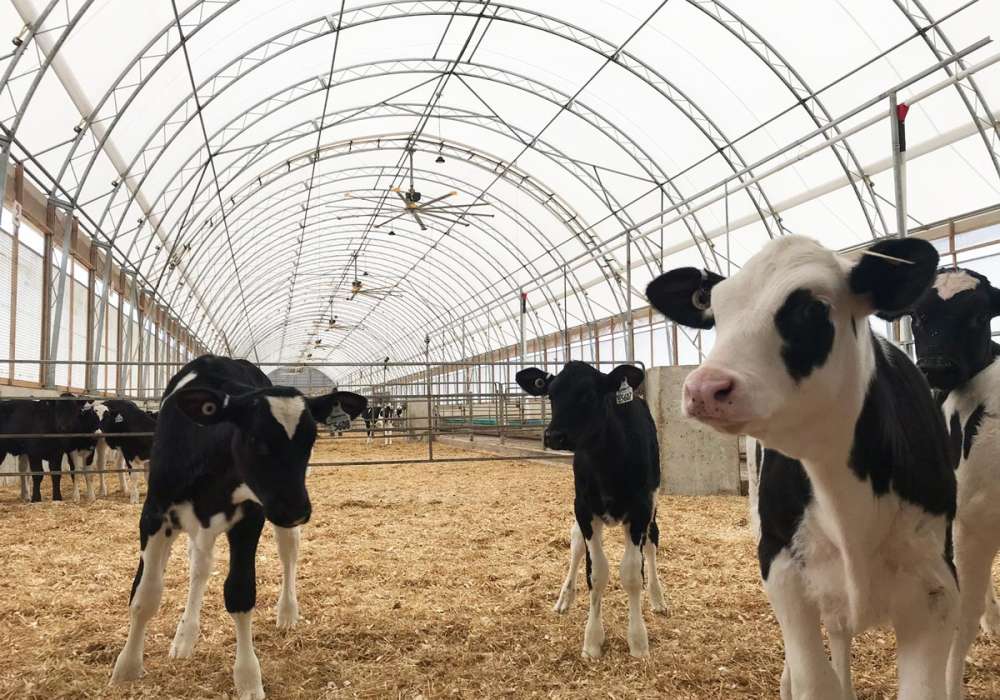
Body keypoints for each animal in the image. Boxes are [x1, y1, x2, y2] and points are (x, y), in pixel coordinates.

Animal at [111, 355, 366, 700]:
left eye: (310, 439)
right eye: (256, 439)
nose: (297, 510)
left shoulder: (251, 517)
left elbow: (240, 593)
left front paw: (248, 679)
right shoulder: (154, 513)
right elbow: (145, 595)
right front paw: (126, 668)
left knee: (288, 551)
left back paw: (287, 612)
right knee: (200, 567)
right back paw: (185, 637)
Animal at [515, 361, 666, 658]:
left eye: (588, 395)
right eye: (551, 394)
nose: (553, 435)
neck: (607, 462)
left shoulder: (641, 508)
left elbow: (632, 574)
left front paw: (638, 641)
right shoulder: (583, 508)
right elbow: (595, 573)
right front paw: (593, 640)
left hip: (651, 507)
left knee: (652, 542)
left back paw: (657, 597)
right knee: (576, 545)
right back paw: (564, 598)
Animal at [646, 235, 957, 699]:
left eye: (812, 308)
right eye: (716, 311)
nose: (704, 388)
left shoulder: (935, 588)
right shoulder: (781, 568)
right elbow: (815, 681)